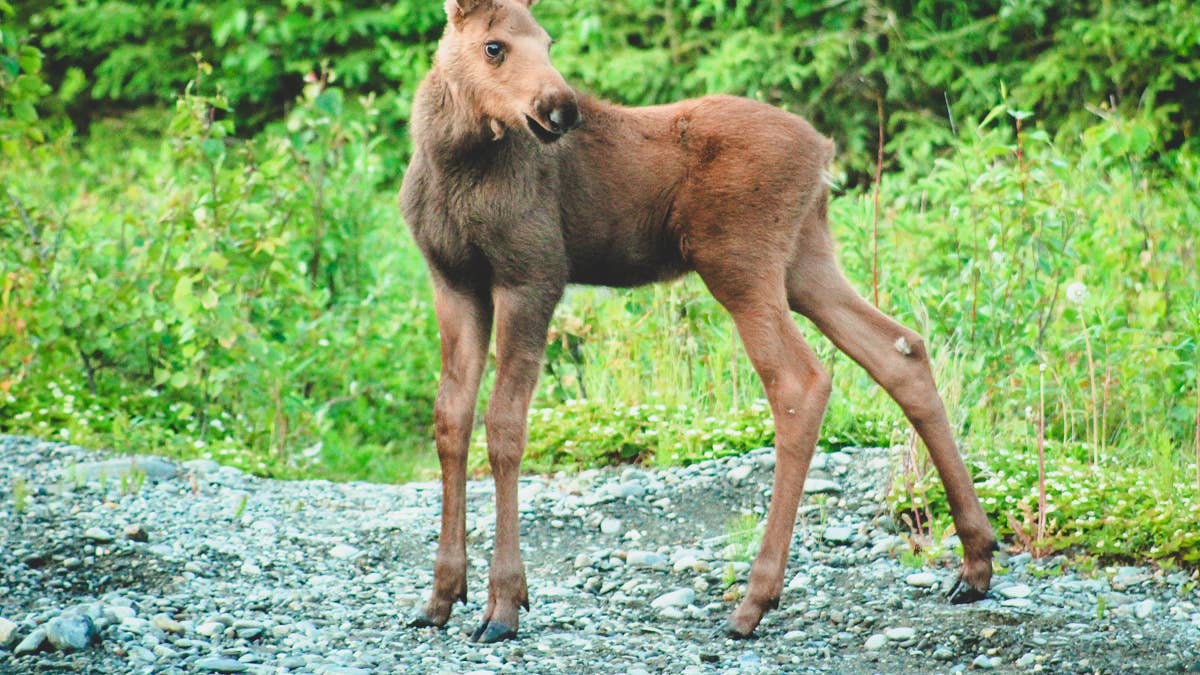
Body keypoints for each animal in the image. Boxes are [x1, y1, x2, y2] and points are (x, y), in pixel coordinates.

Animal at [400, 0, 997, 644]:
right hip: (804, 260)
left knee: (801, 380)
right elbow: (451, 419)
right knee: (901, 348)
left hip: (739, 259)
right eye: (495, 47)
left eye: (548, 41)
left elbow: (505, 425)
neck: (454, 159)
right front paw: (440, 597)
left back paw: (754, 600)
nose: (561, 108)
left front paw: (504, 605)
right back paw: (975, 562)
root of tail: (824, 151)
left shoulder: (533, 273)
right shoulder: (452, 280)